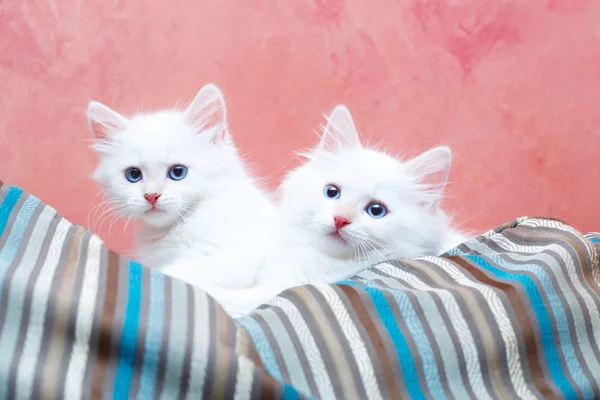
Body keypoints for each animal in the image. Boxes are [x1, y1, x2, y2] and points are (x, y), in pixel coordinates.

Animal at [192, 104, 464, 318]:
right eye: (332, 192)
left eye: (376, 210)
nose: (340, 219)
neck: (320, 260)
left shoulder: (280, 289)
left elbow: (228, 297)